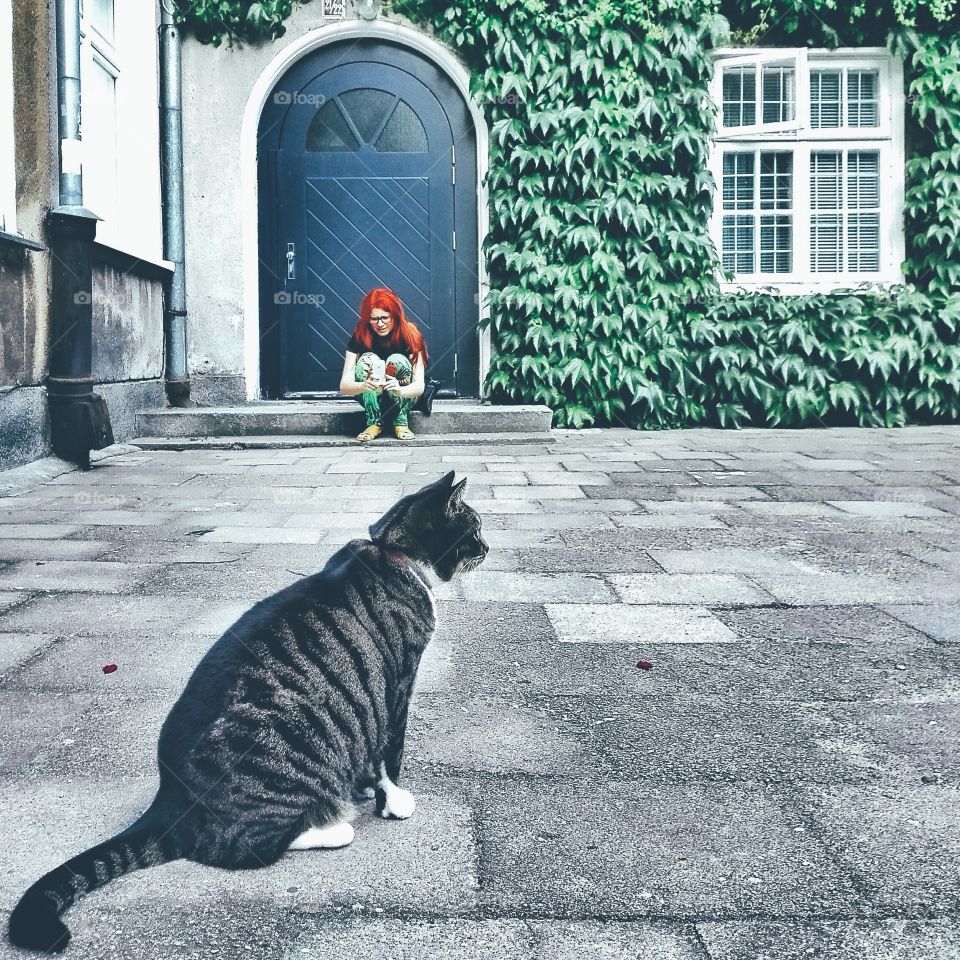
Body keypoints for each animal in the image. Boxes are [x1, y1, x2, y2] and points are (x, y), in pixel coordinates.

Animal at [8, 468, 488, 948]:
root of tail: (170, 803)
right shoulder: (398, 681)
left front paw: (367, 786)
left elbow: (370, 746)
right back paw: (332, 825)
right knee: (243, 848)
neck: (392, 553)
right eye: (475, 530)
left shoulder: (371, 699)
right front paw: (393, 800)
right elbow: (392, 750)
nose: (488, 548)